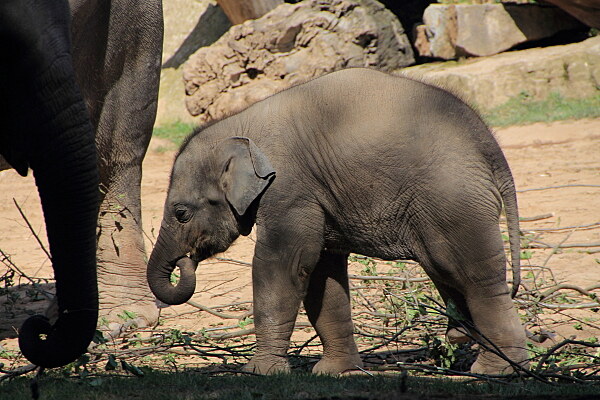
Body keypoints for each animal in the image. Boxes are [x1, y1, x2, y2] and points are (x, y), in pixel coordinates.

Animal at [148, 68, 528, 376]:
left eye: (181, 213)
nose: (186, 261)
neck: (240, 124)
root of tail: (493, 150)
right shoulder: (317, 195)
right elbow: (322, 275)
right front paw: (336, 373)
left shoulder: (290, 189)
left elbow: (283, 266)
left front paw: (259, 372)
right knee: (445, 268)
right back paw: (463, 340)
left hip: (453, 197)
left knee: (474, 274)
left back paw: (497, 370)